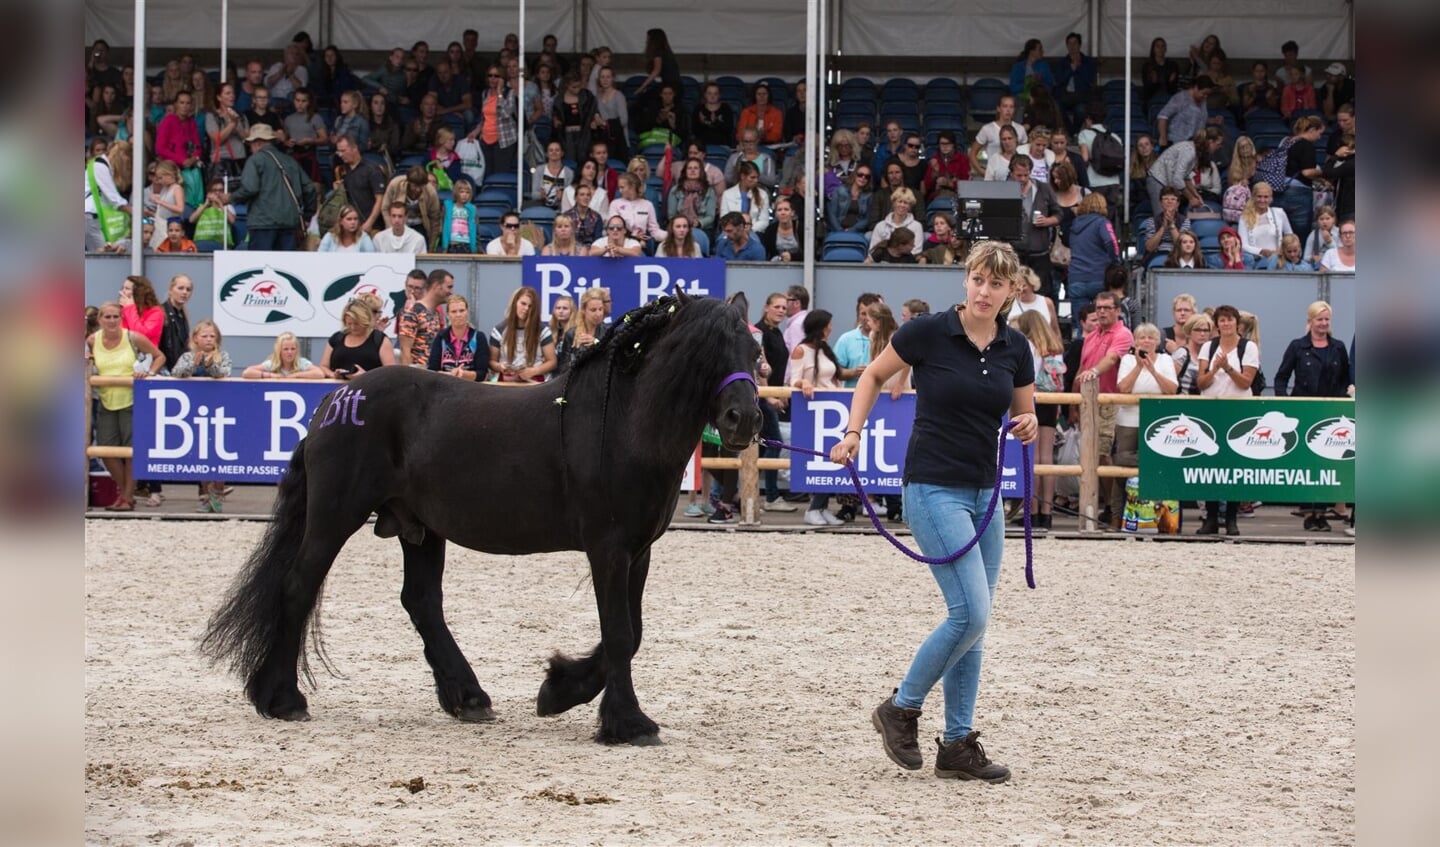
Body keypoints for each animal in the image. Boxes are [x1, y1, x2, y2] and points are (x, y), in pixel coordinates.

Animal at [207, 293, 766, 743]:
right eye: (702, 354)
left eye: (756, 354)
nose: (744, 419)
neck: (623, 425)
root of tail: (335, 399)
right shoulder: (607, 549)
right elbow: (621, 633)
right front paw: (627, 723)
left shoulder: (638, 551)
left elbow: (633, 631)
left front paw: (560, 690)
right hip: (335, 517)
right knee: (298, 586)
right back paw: (284, 699)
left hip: (419, 529)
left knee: (421, 602)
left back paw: (468, 697)